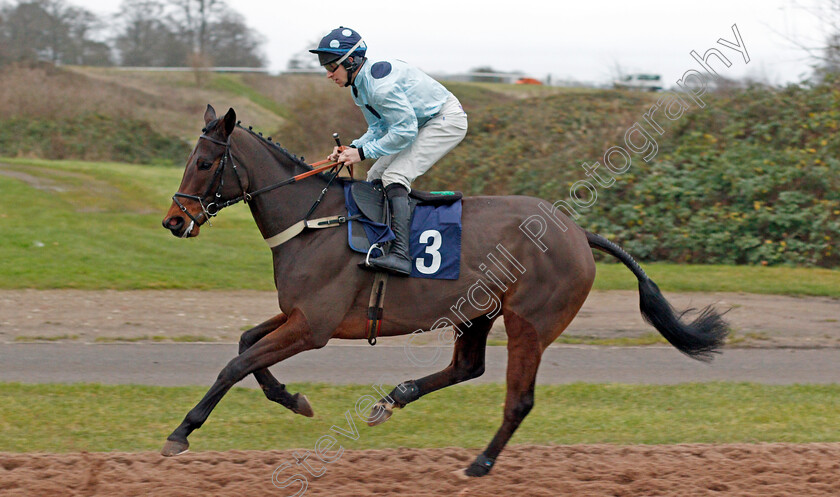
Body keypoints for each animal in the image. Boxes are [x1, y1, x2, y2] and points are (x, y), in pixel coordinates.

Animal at [159, 104, 728, 476]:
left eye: (205, 163)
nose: (173, 221)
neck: (313, 219)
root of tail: (575, 231)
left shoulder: (314, 326)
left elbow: (236, 363)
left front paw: (181, 432)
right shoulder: (298, 315)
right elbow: (245, 344)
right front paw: (294, 399)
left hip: (529, 323)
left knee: (519, 399)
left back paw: (480, 463)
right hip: (476, 312)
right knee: (467, 367)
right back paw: (393, 399)